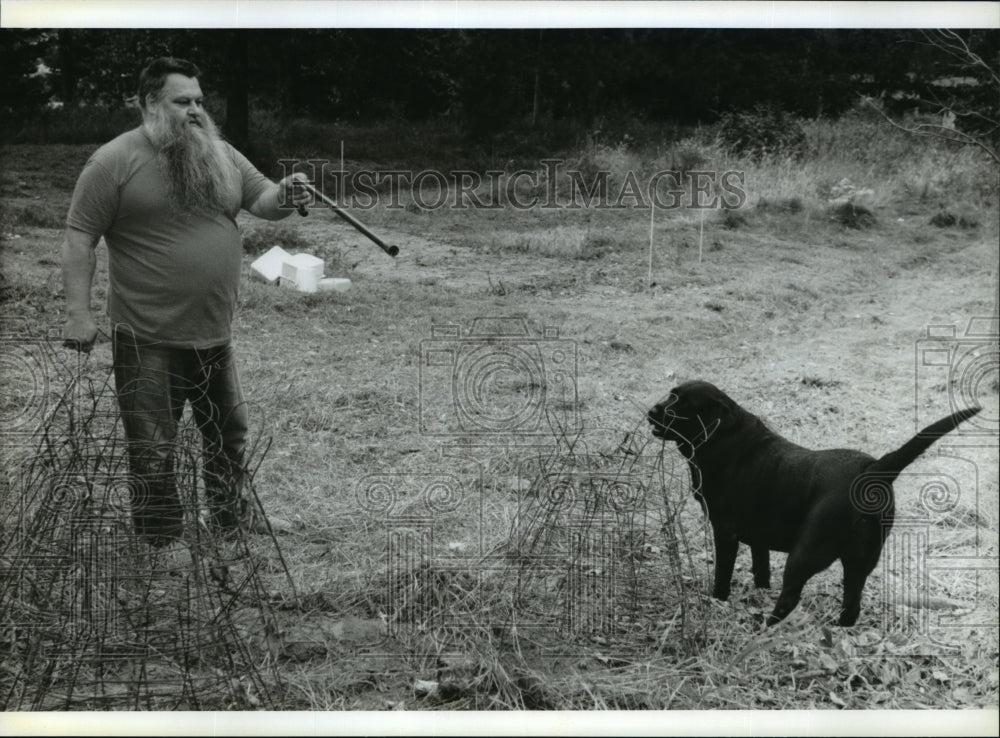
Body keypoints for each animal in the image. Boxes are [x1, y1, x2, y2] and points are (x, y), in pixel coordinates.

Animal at [644, 380, 980, 628]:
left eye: (679, 403)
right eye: (671, 396)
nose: (651, 410)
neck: (722, 438)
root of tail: (873, 470)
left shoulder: (725, 532)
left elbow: (723, 575)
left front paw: (718, 600)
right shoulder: (757, 538)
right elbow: (761, 569)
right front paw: (758, 591)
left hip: (805, 551)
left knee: (790, 596)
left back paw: (765, 627)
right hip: (862, 559)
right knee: (852, 601)